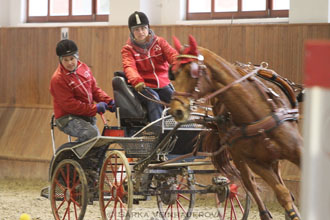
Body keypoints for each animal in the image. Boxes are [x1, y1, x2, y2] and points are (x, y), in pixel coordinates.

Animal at [171, 35, 302, 219]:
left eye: (192, 72)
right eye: (174, 73)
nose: (176, 110)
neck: (256, 112)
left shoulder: (297, 149)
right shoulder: (254, 161)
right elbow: (280, 193)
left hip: (272, 157)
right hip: (240, 156)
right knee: (250, 184)